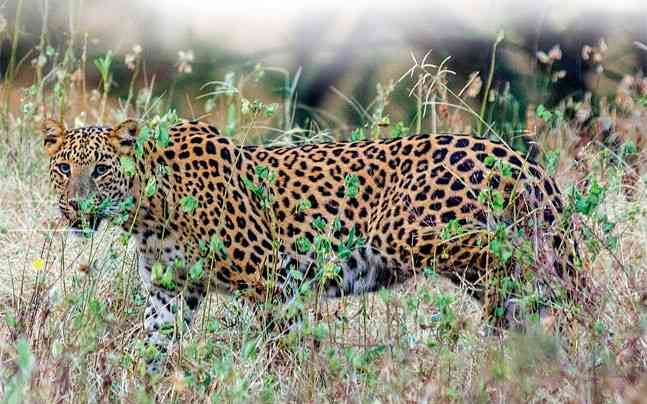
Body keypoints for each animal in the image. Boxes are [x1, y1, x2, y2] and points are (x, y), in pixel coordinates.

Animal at [41, 118, 586, 366]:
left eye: (101, 169)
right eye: (64, 167)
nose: (76, 206)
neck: (148, 213)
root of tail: (516, 156)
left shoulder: (269, 277)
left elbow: (286, 342)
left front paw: (295, 379)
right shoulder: (169, 292)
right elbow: (153, 344)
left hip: (415, 233)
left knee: (517, 265)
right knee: (532, 298)